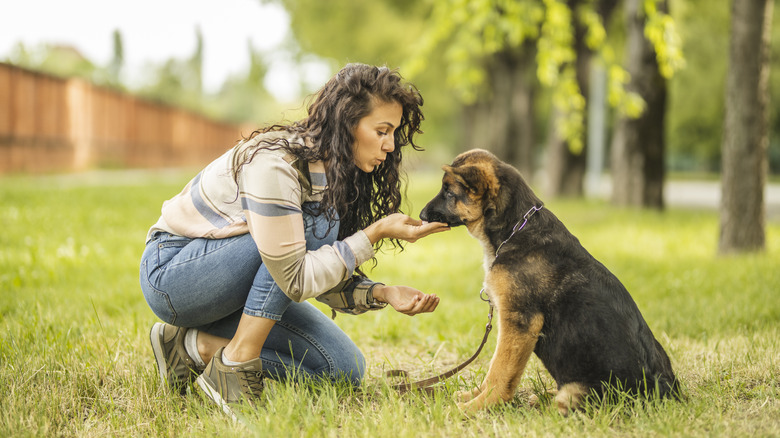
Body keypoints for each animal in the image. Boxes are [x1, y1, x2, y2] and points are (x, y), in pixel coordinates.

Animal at [418, 150, 680, 414]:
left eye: (449, 192)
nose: (420, 216)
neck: (515, 229)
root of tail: (668, 394)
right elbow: (495, 367)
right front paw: (473, 397)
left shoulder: (519, 323)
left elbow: (499, 371)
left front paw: (478, 406)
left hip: (580, 392)